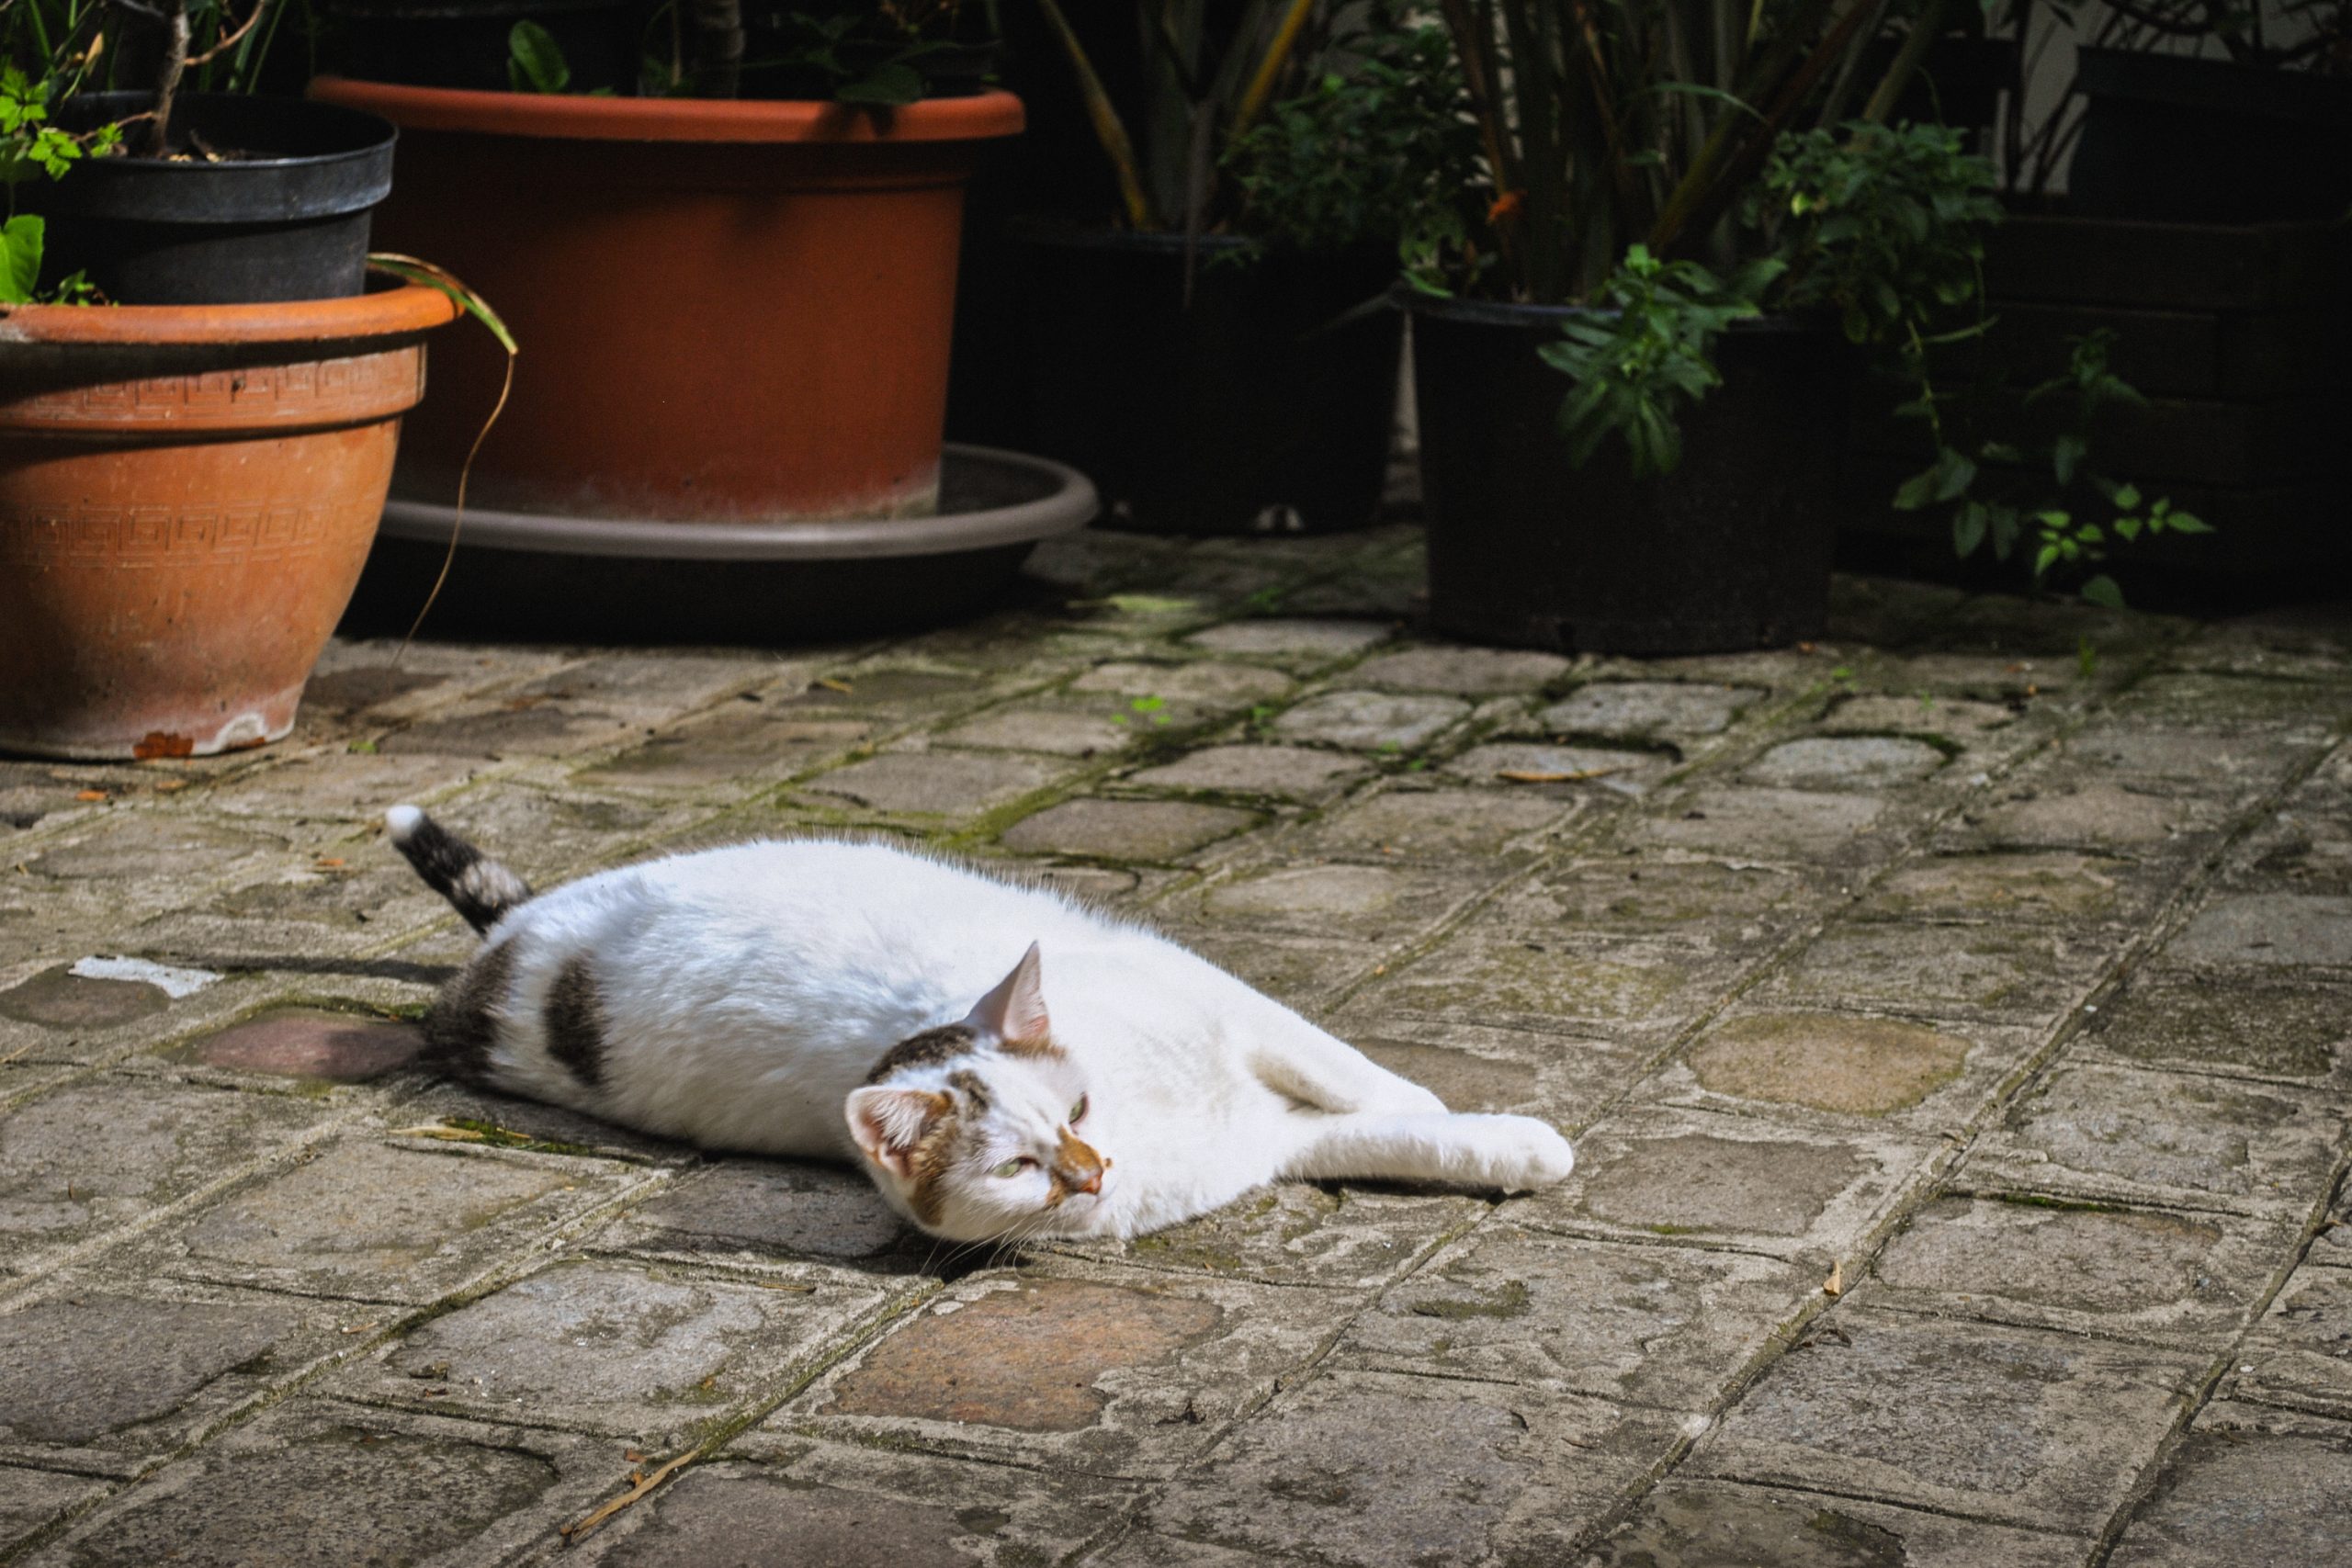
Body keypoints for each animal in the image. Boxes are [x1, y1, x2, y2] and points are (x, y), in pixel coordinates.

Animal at [390, 808, 1580, 1241]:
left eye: (1082, 1106)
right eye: (1015, 1167)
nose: (1093, 1170)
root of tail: (517, 943)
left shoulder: (1229, 1008)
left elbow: (1370, 1090)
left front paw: (1491, 1132)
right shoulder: (1265, 1146)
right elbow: (1382, 1137)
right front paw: (1511, 1146)